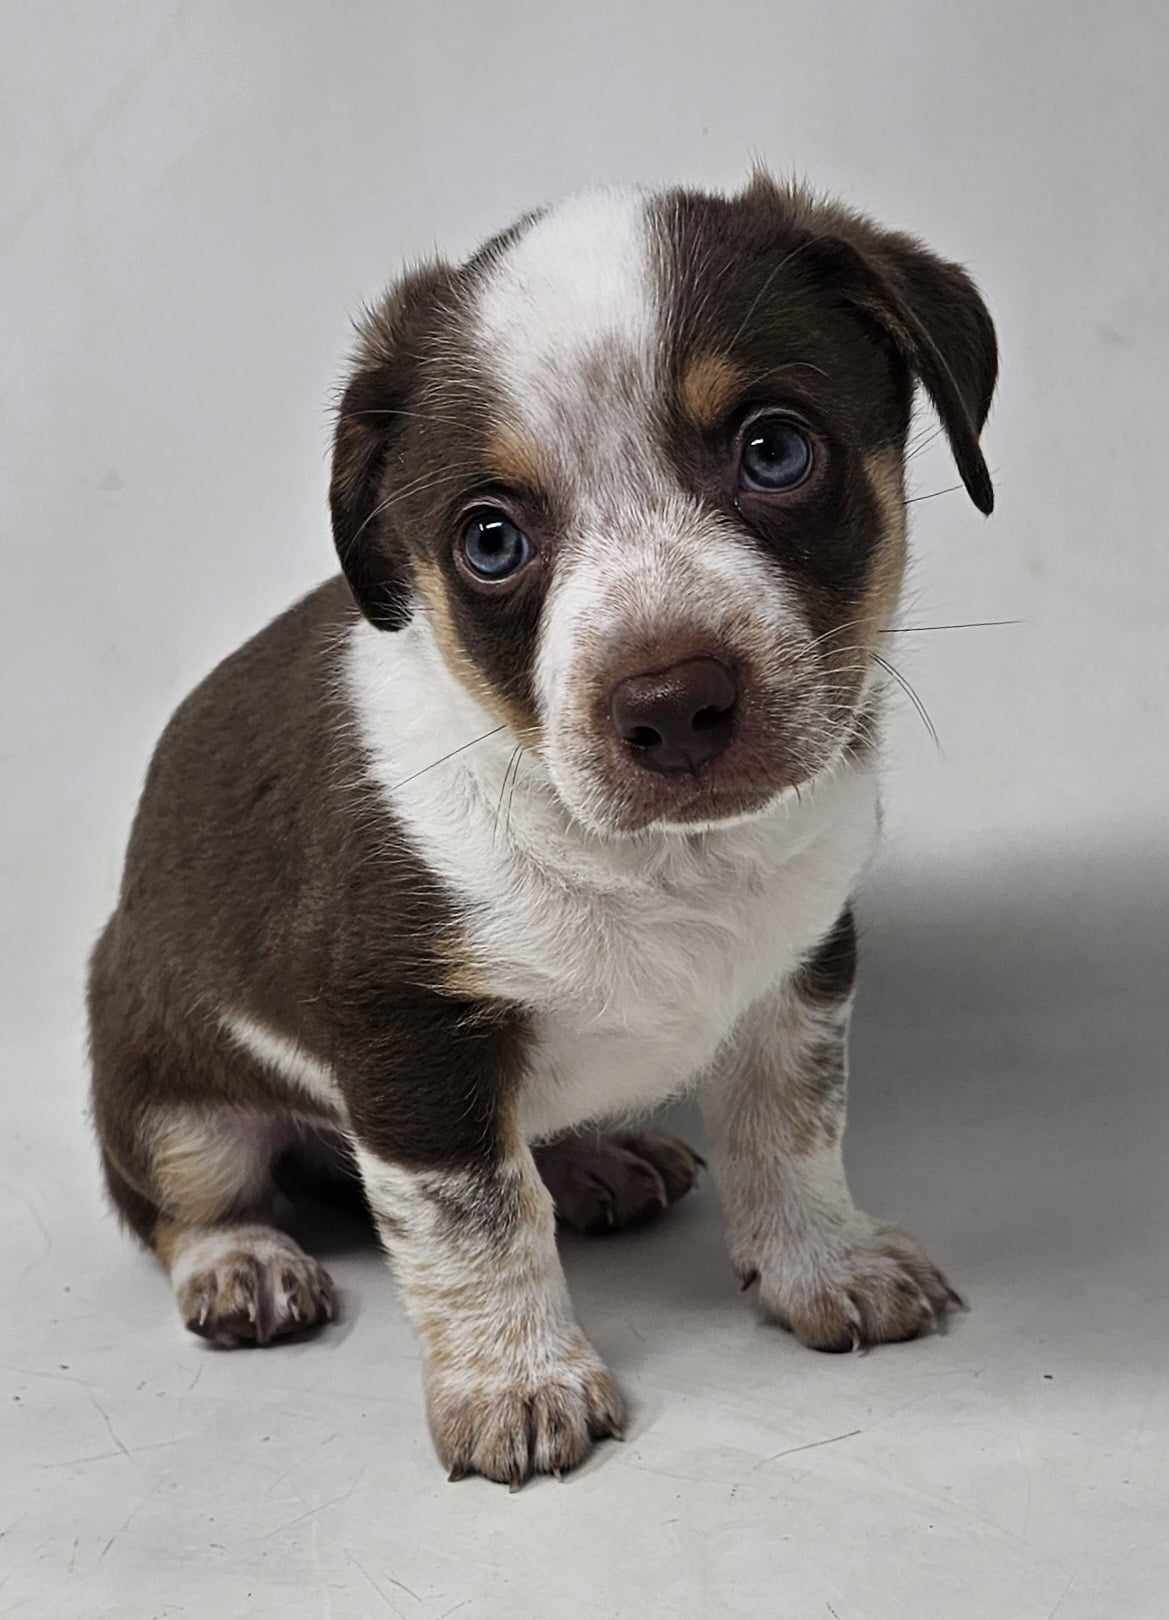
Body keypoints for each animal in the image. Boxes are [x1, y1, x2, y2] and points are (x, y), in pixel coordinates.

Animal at [88, 174, 990, 1483]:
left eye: (773, 449)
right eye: (490, 539)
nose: (670, 704)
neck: (664, 862)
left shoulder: (798, 968)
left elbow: (791, 1134)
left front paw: (825, 1263)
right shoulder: (409, 1038)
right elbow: (478, 1224)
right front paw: (515, 1382)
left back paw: (593, 1159)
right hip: (168, 1095)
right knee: (179, 1199)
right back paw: (242, 1260)